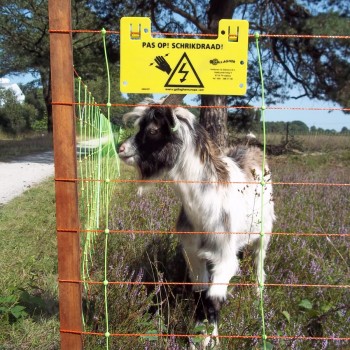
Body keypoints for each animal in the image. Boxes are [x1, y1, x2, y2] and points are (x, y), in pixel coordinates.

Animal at [119, 99, 274, 350]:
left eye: (152, 130)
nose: (121, 149)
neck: (204, 207)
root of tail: (251, 147)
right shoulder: (193, 253)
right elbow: (200, 294)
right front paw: (197, 337)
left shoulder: (224, 257)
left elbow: (213, 299)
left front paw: (211, 339)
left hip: (264, 233)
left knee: (260, 265)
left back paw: (258, 298)